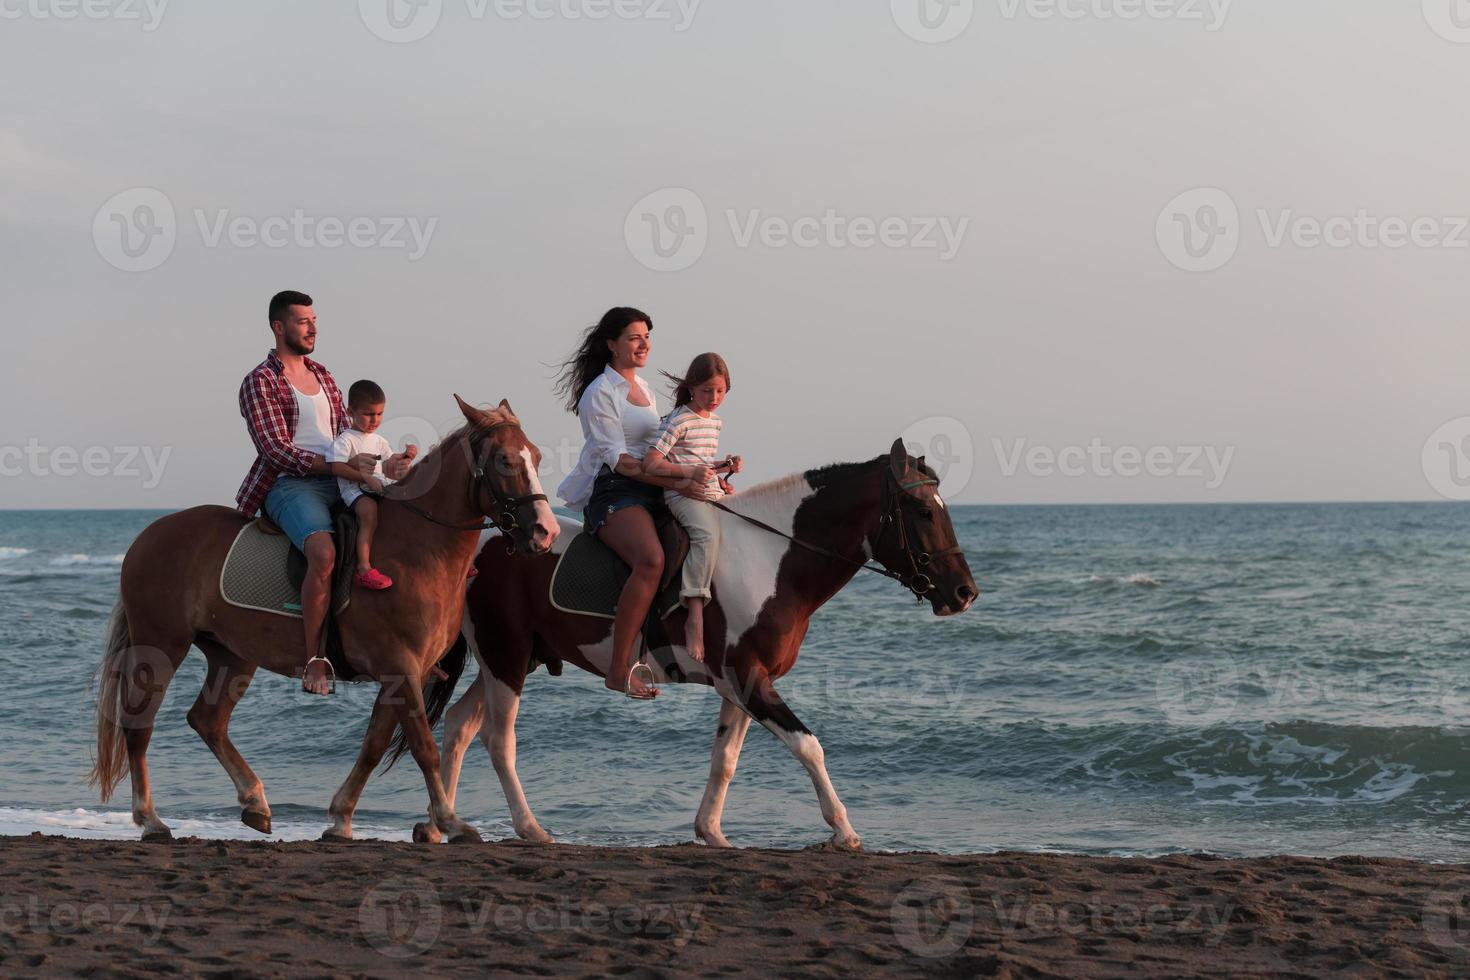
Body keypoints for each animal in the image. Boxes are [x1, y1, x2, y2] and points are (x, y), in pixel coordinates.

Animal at [85, 399, 555, 846]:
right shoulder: (402, 669)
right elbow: (424, 747)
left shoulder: (404, 674)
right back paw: (151, 820)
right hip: (162, 645)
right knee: (139, 726)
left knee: (207, 720)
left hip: (231, 656)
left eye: (535, 455)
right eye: (505, 461)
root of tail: (149, 535)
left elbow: (373, 746)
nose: (545, 532)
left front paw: (341, 819)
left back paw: (255, 803)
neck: (415, 551)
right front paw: (451, 822)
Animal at [423, 437, 976, 852]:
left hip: (508, 661)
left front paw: (710, 831)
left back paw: (439, 824)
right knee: (497, 739)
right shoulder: (750, 677)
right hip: (507, 657)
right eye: (922, 511)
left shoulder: (740, 683)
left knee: (459, 725)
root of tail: (486, 544)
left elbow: (725, 757)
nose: (964, 593)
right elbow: (808, 745)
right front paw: (843, 829)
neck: (771, 558)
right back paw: (528, 828)